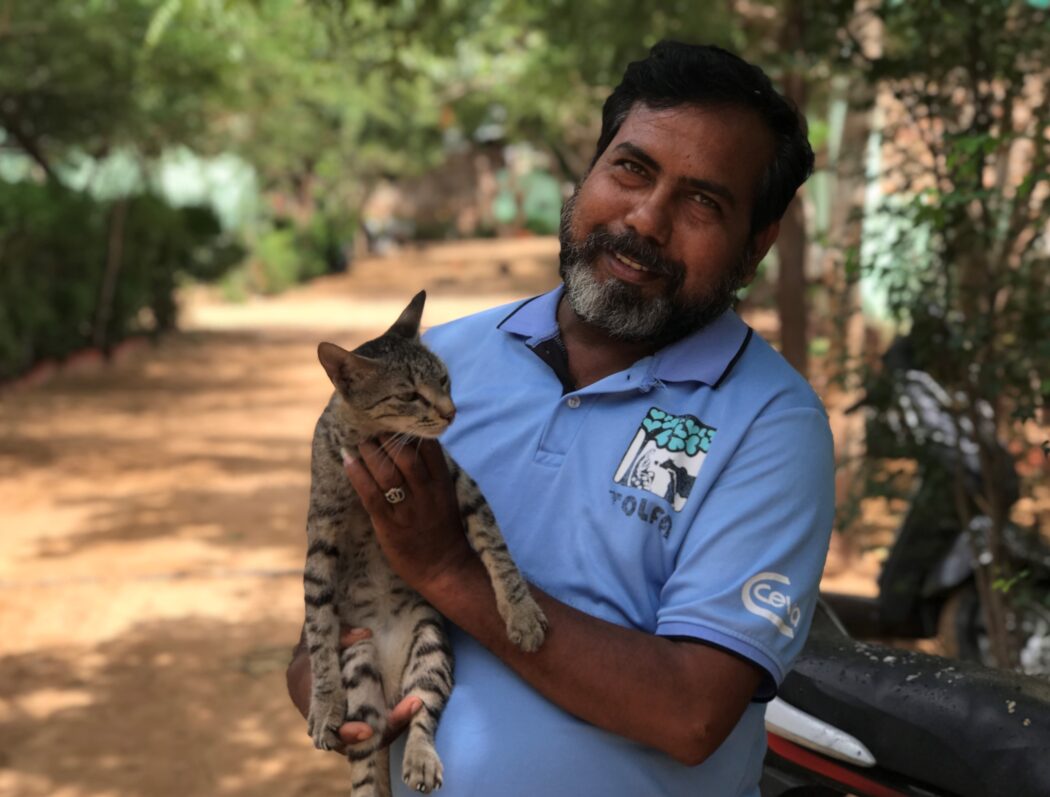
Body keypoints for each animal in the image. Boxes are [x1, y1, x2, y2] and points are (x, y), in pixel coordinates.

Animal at [302, 294, 546, 797]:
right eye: (409, 394)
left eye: (445, 380)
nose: (451, 412)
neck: (371, 440)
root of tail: (394, 678)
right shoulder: (320, 538)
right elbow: (317, 628)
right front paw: (324, 703)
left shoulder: (461, 485)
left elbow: (496, 547)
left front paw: (521, 613)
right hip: (359, 663)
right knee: (366, 754)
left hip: (431, 646)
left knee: (421, 713)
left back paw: (419, 758)